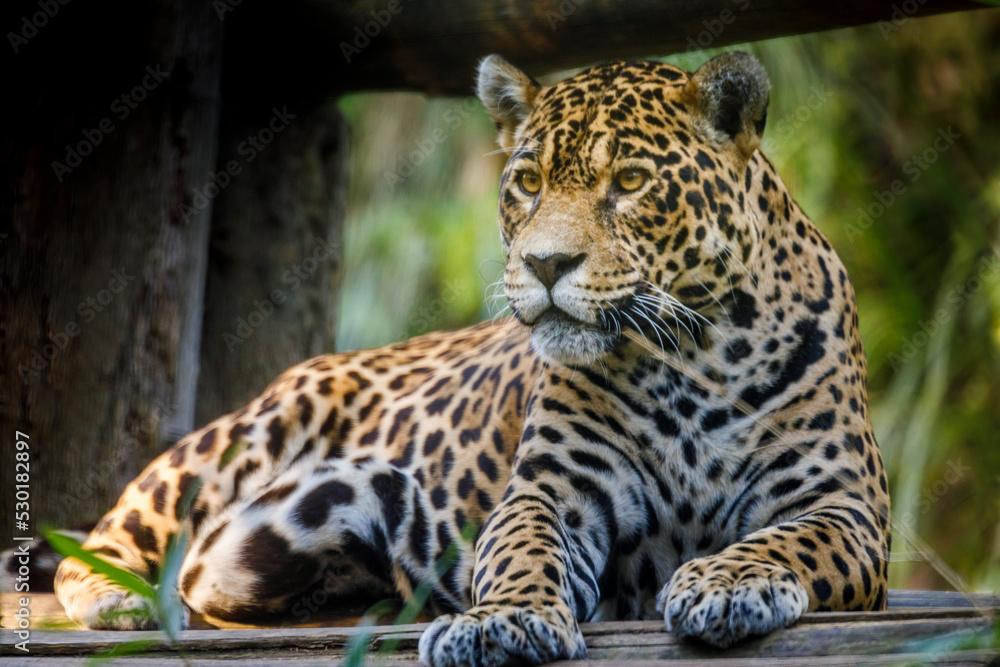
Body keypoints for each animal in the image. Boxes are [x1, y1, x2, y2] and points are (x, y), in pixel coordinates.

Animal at [48, 52, 890, 665]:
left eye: (629, 181)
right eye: (528, 181)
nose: (546, 264)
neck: (690, 359)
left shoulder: (846, 504)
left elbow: (786, 539)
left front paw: (728, 580)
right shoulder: (552, 491)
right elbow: (521, 549)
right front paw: (500, 620)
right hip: (245, 433)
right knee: (100, 537)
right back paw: (121, 597)